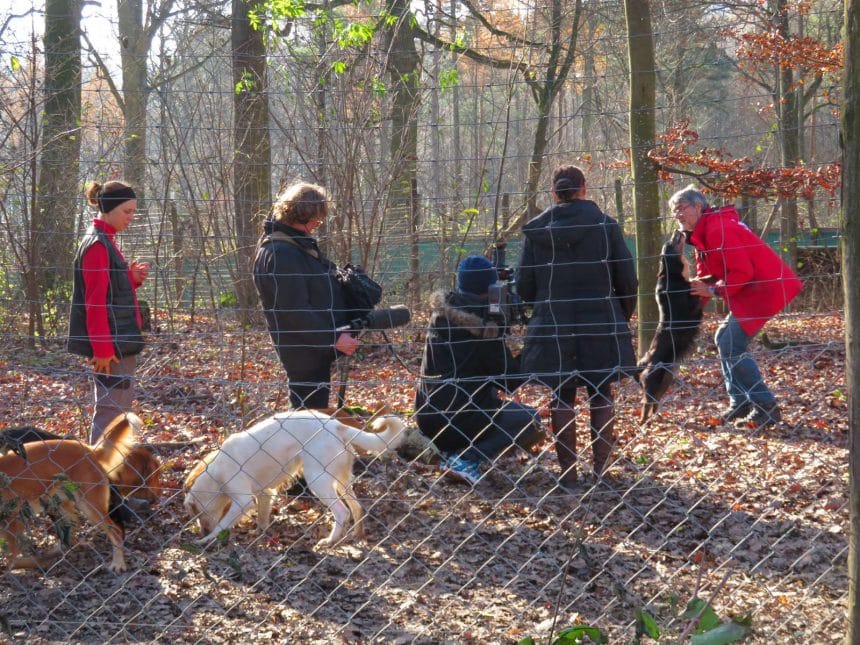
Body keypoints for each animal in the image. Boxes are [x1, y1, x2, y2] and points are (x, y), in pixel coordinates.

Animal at [0, 412, 139, 568]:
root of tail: (89, 450)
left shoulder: (11, 520)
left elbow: (13, 557)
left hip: (89, 505)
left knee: (115, 531)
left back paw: (118, 563)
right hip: (59, 502)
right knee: (72, 528)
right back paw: (59, 551)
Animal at [181, 408, 406, 544]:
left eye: (197, 514)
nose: (201, 531)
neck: (216, 472)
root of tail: (336, 425)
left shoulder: (243, 502)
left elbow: (222, 524)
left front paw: (206, 540)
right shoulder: (265, 494)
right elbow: (262, 519)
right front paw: (259, 535)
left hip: (318, 481)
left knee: (343, 512)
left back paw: (330, 541)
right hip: (341, 481)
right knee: (357, 508)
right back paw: (357, 536)